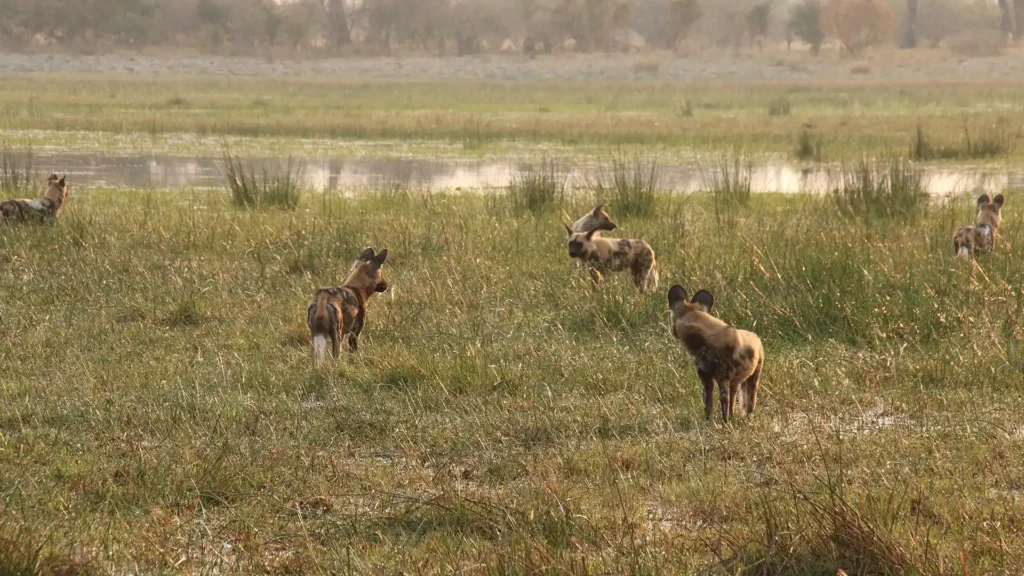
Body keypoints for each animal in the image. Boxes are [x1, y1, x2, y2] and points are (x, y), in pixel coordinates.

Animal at [667, 284, 765, 424]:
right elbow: (708, 406)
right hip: (735, 383)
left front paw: (725, 425)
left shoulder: (722, 379)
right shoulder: (707, 380)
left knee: (749, 405)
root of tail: (757, 338)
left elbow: (723, 405)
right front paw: (709, 424)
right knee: (733, 404)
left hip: (752, 380)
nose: (673, 332)